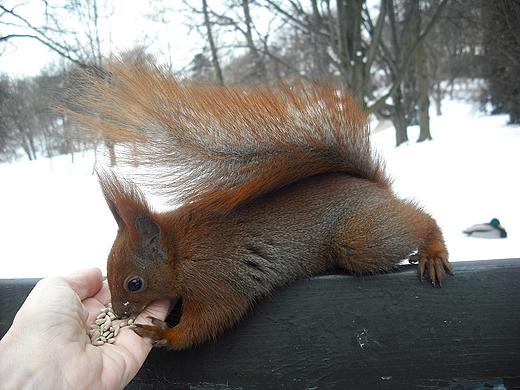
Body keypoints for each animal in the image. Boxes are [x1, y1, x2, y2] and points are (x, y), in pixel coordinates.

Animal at [73, 60, 450, 350]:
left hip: (358, 239)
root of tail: (373, 186)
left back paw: (432, 251)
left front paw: (165, 334)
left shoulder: (217, 278)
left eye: (134, 283)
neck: (180, 250)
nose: (120, 312)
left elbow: (212, 318)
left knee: (420, 221)